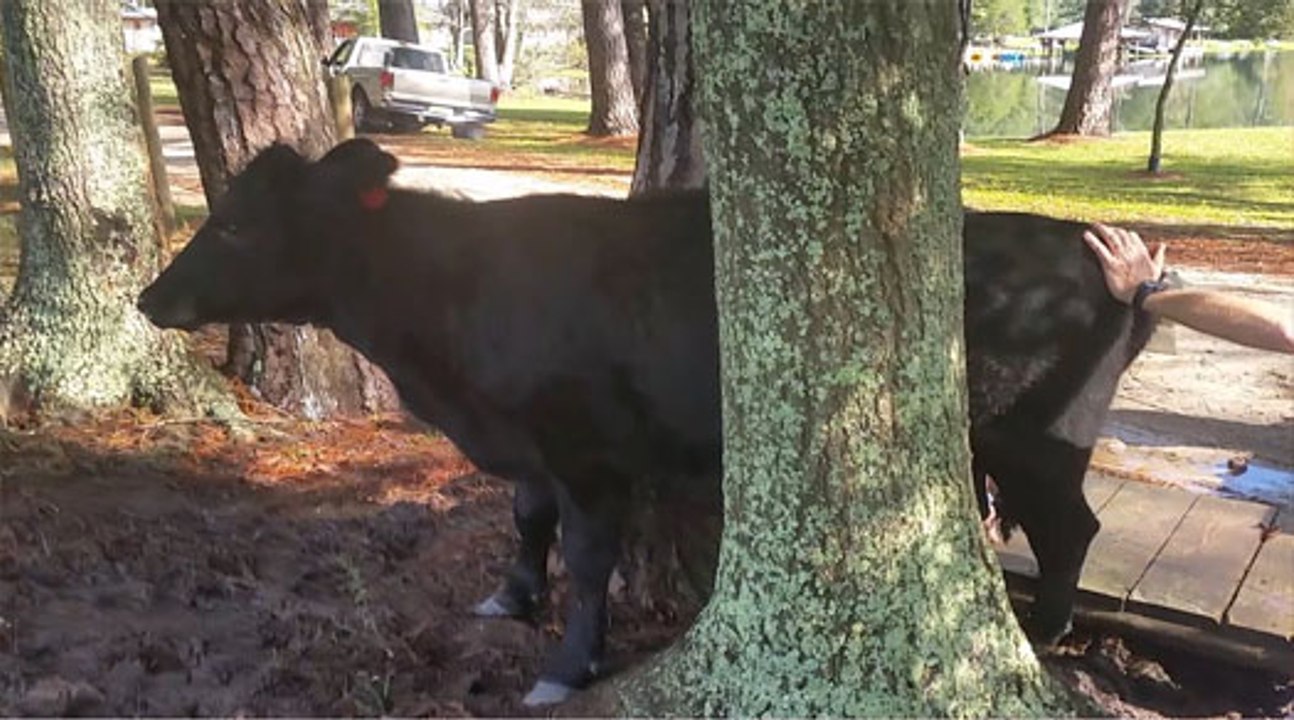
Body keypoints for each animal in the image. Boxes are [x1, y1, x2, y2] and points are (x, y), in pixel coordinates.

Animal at [137, 139, 1153, 705]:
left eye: (234, 224)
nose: (149, 298)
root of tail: (1100, 254)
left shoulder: (591, 453)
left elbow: (590, 560)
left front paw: (566, 665)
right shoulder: (530, 443)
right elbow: (526, 520)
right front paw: (511, 596)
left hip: (1039, 439)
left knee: (1072, 528)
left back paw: (1049, 633)